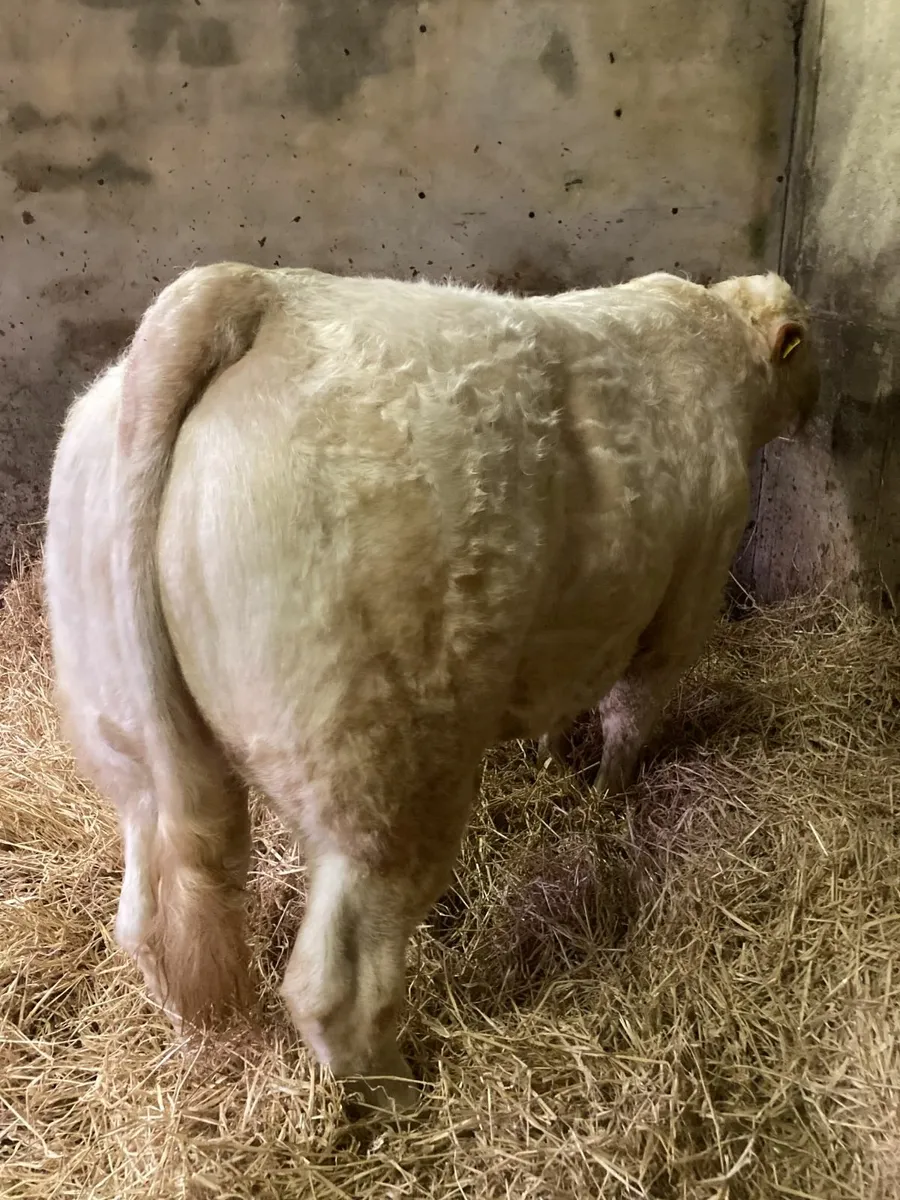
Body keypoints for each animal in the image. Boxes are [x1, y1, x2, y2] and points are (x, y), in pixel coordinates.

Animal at [43, 263, 818, 1109]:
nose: (817, 412)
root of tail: (263, 292)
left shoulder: (575, 631)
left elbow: (563, 704)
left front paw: (555, 768)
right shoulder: (685, 597)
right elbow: (629, 715)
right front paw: (607, 796)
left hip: (129, 751)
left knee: (149, 920)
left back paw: (196, 1044)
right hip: (387, 777)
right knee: (336, 986)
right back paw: (402, 1094)